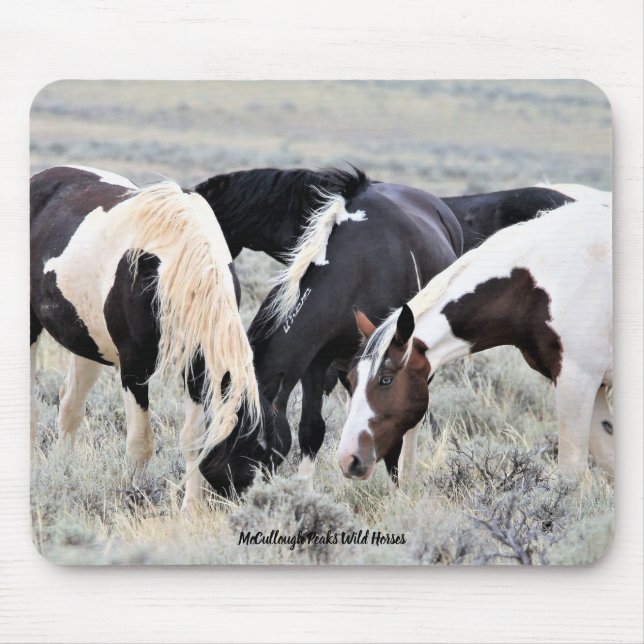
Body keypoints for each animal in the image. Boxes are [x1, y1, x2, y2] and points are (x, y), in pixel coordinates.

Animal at [30, 165, 289, 510]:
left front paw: (190, 509)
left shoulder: (197, 368)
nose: (256, 505)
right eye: (247, 455)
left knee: (70, 405)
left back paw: (63, 472)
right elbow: (141, 442)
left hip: (88, 343)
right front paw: (135, 497)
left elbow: (193, 438)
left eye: (275, 456)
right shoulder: (133, 369)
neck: (168, 266)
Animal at [337, 193, 613, 483]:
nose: (348, 459)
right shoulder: (594, 387)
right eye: (350, 380)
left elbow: (572, 472)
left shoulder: (577, 381)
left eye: (386, 379)